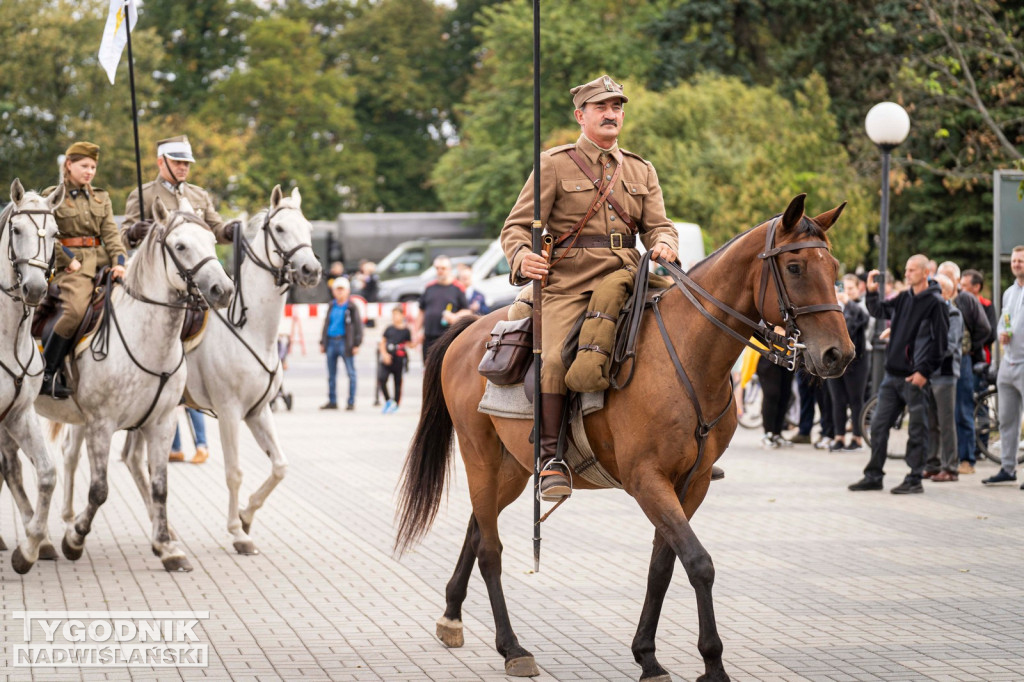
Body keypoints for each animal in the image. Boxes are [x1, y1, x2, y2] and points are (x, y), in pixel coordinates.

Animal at [38, 199, 234, 569]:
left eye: (212, 240)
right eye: (180, 246)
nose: (224, 290)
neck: (146, 338)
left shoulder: (161, 423)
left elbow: (160, 486)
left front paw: (167, 548)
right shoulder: (101, 424)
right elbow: (99, 489)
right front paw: (75, 539)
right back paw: (43, 540)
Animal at [126, 184, 319, 552]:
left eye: (309, 228)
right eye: (280, 228)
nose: (310, 270)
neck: (251, 328)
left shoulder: (259, 411)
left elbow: (280, 466)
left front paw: (246, 516)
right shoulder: (230, 412)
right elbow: (234, 472)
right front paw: (237, 532)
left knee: (131, 460)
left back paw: (165, 531)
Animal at [395, 192, 851, 679]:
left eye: (834, 267)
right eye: (795, 267)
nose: (838, 354)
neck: (688, 356)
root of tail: (472, 328)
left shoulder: (692, 483)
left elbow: (663, 566)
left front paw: (647, 655)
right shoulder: (646, 480)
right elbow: (699, 563)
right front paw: (712, 662)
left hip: (512, 468)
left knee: (477, 530)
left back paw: (452, 616)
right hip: (479, 456)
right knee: (491, 549)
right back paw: (511, 646)